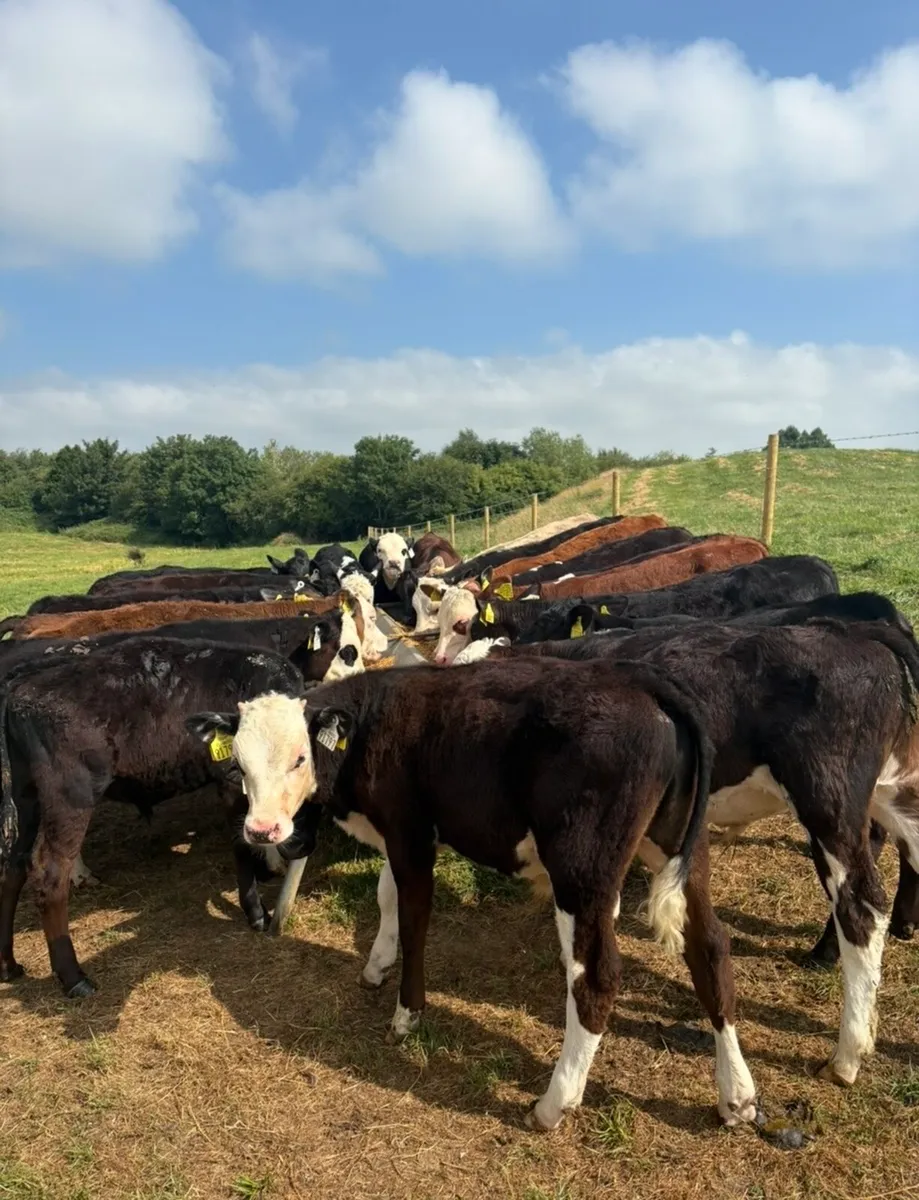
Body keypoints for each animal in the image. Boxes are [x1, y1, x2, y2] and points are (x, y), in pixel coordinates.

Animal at [0, 639, 327, 997]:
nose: (301, 846)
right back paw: (73, 978)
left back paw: (8, 965)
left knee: (15, 864)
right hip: (69, 798)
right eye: (240, 765)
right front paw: (256, 913)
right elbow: (241, 846)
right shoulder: (228, 784)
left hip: (27, 796)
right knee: (49, 875)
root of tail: (22, 687)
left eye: (303, 760)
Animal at [187, 656, 765, 1131]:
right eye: (240, 765)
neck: (374, 721)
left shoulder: (411, 833)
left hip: (583, 870)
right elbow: (386, 898)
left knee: (597, 977)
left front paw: (407, 1013)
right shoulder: (400, 837)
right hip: (680, 848)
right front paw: (375, 965)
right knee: (710, 946)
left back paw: (554, 1104)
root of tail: (643, 684)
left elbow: (415, 918)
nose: (262, 830)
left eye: (299, 758)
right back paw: (736, 1094)